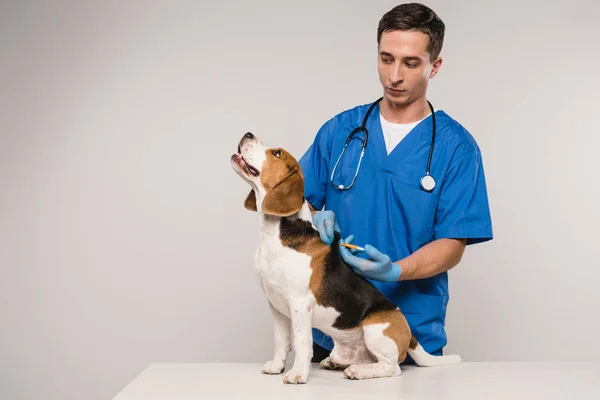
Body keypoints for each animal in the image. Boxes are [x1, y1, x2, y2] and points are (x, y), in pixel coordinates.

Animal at [232, 132, 462, 384]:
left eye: (276, 153)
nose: (248, 134)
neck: (275, 234)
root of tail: (410, 334)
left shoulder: (299, 304)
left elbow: (302, 343)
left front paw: (298, 374)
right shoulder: (276, 306)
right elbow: (281, 341)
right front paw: (276, 366)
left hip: (375, 329)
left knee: (393, 368)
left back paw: (359, 371)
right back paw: (339, 362)